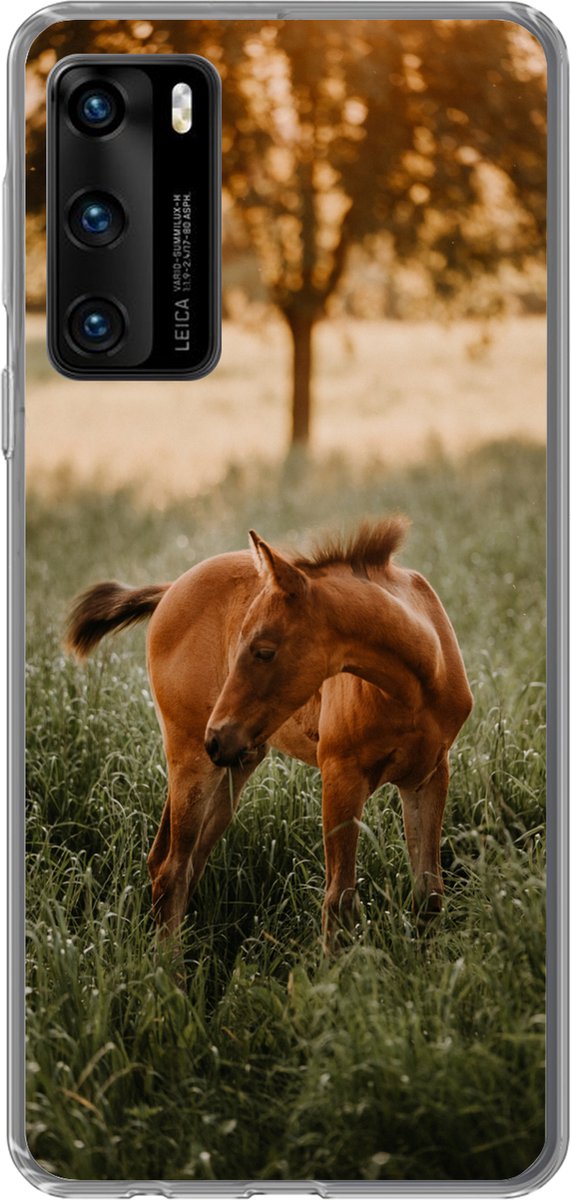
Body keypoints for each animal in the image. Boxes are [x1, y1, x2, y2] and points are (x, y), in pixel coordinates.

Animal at [66, 517, 473, 947]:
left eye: (264, 651)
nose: (216, 735)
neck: (417, 684)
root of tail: (171, 588)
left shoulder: (428, 777)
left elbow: (429, 895)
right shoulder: (341, 778)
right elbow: (340, 902)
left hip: (235, 764)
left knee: (181, 861)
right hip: (192, 760)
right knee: (171, 869)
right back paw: (169, 966)